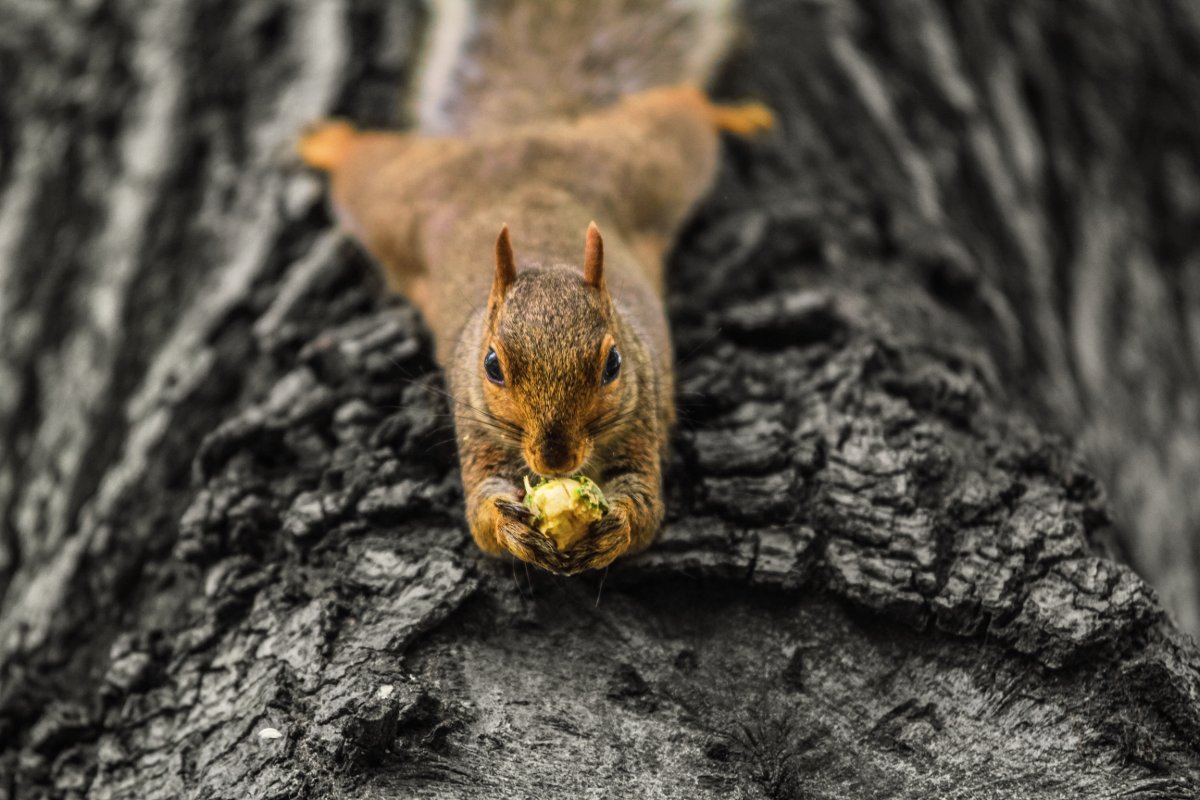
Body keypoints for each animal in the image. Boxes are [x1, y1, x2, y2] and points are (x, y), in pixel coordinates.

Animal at [296, 0, 772, 575]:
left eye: (613, 364)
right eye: (492, 366)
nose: (555, 459)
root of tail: (524, 133)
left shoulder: (641, 418)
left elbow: (645, 507)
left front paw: (614, 527)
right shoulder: (478, 430)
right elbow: (481, 515)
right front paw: (510, 527)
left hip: (649, 160)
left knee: (684, 109)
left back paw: (734, 114)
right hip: (396, 197)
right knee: (362, 165)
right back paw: (328, 141)